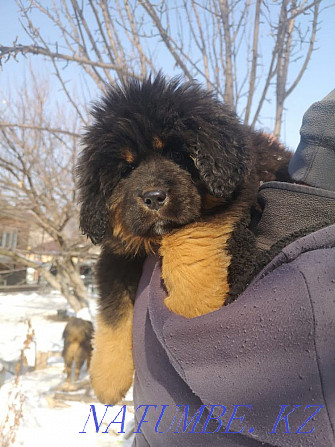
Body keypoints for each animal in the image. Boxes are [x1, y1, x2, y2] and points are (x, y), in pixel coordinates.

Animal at [77, 74, 292, 406]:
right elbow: (113, 312)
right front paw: (107, 379)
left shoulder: (235, 195)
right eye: (127, 168)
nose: (153, 197)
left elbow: (189, 234)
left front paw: (193, 304)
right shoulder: (116, 255)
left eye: (178, 155)